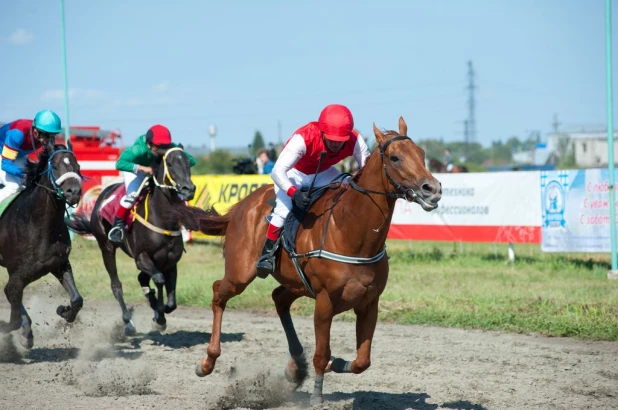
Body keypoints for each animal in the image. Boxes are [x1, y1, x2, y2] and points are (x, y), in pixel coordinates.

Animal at [0, 146, 83, 348]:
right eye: (55, 166)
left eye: (78, 166)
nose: (73, 192)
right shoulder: (17, 275)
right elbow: (12, 312)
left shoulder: (59, 264)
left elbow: (77, 299)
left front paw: (64, 311)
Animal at [67, 146, 194, 334]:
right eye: (170, 164)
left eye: (188, 162)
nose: (189, 189)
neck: (162, 219)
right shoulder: (141, 257)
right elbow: (159, 280)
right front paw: (159, 314)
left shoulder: (170, 262)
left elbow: (171, 302)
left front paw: (159, 311)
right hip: (106, 248)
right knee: (116, 285)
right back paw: (128, 322)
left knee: (142, 279)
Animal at [176, 117, 440, 406]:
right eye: (394, 157)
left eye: (422, 154)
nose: (433, 189)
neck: (351, 232)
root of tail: (241, 206)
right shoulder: (324, 301)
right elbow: (322, 353)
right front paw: (317, 393)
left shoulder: (370, 302)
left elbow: (362, 361)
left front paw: (337, 364)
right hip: (240, 273)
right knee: (217, 292)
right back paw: (207, 362)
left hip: (296, 284)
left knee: (279, 298)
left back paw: (295, 368)